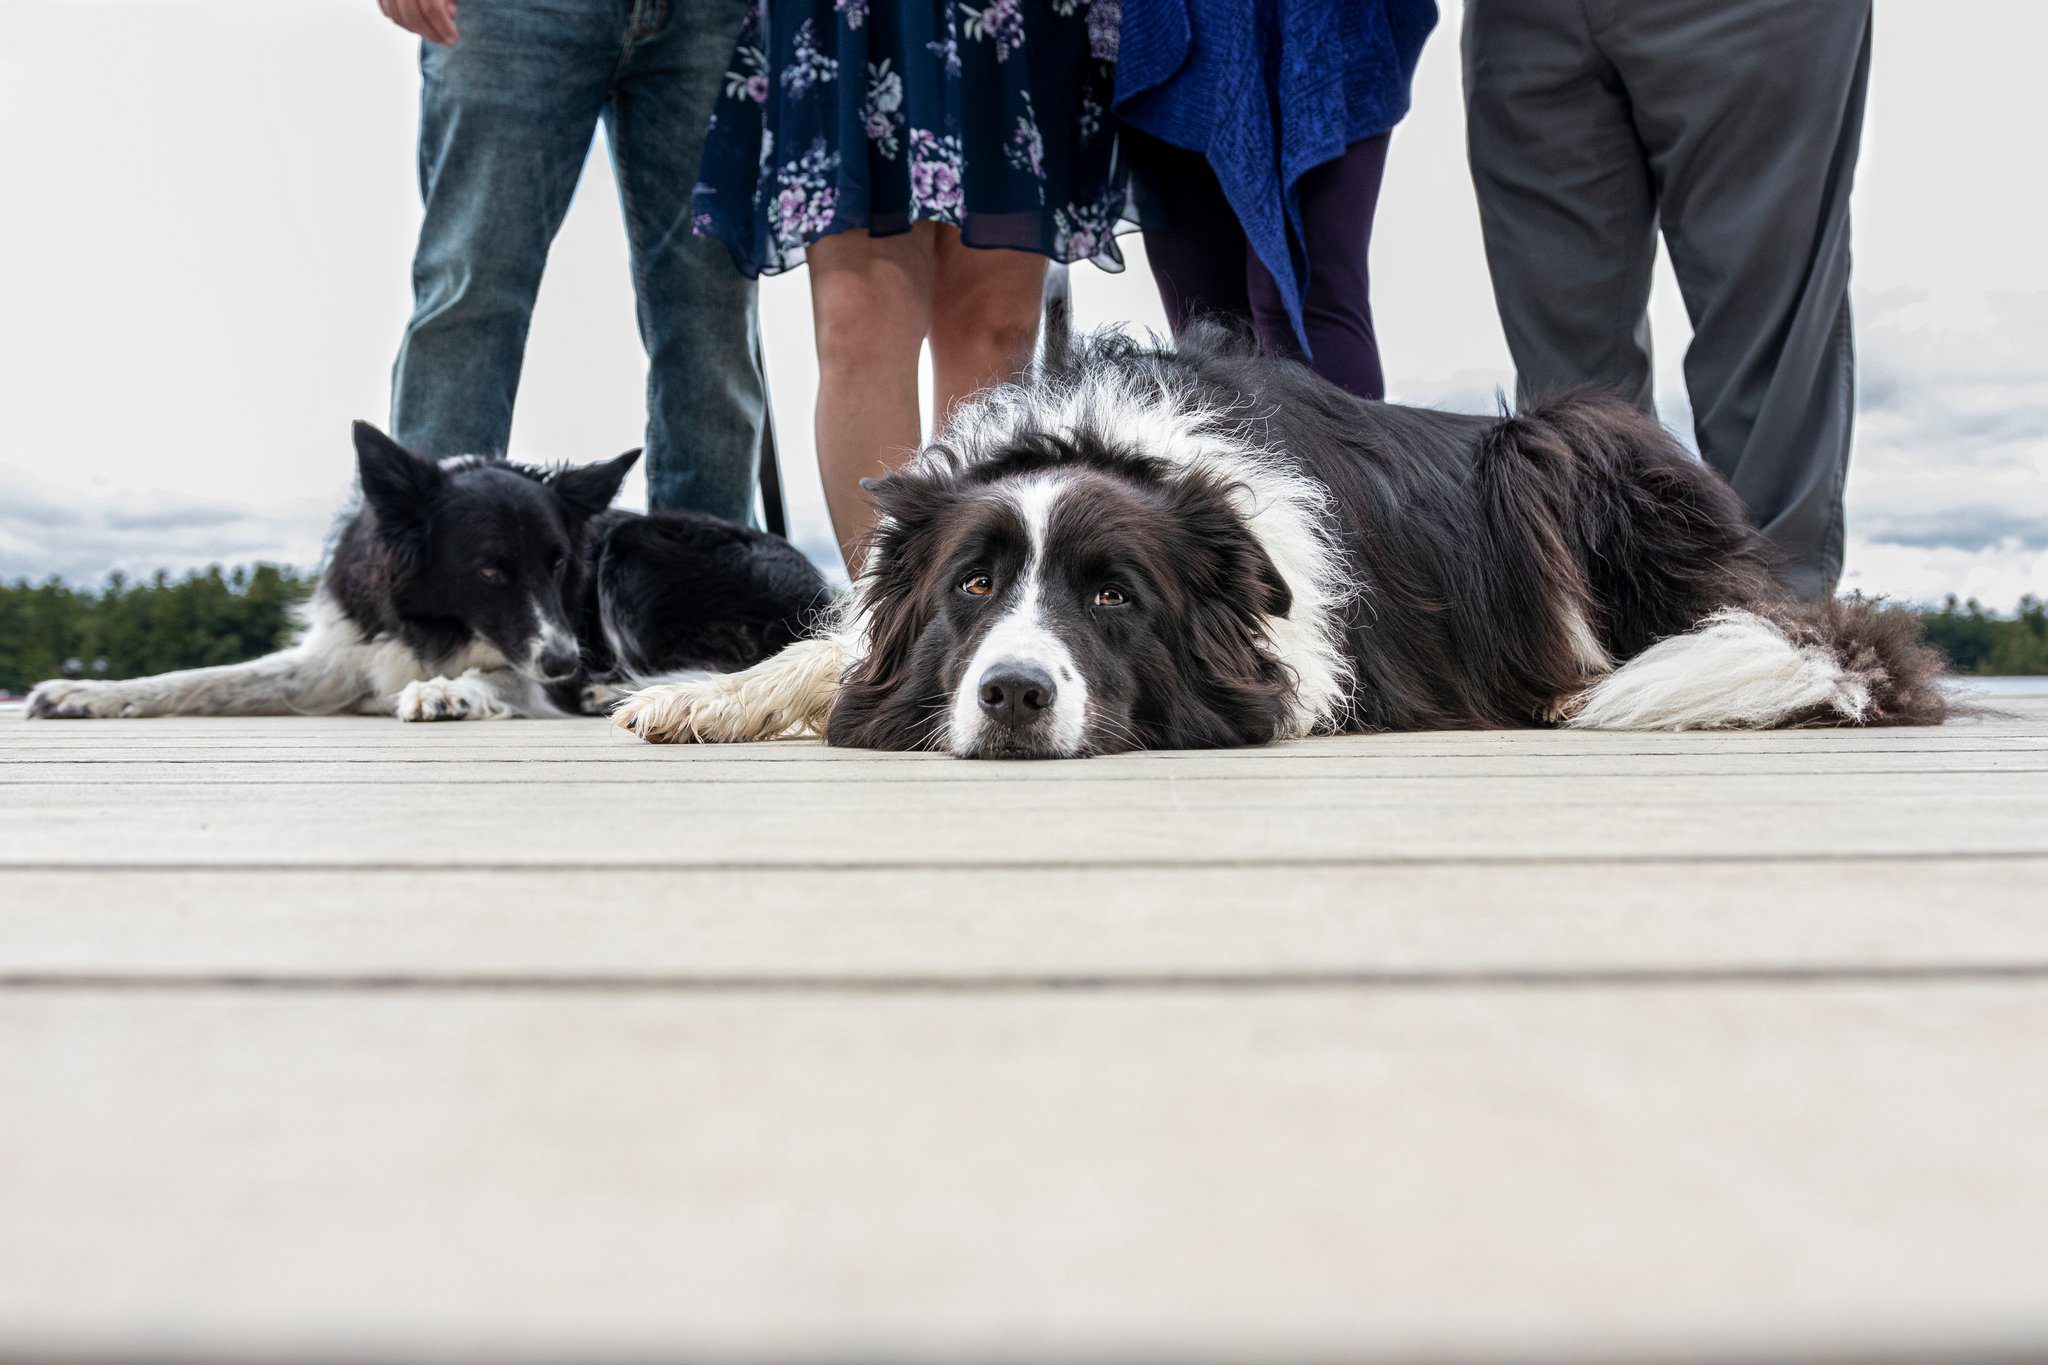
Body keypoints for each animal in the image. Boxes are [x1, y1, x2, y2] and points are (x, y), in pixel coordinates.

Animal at [28, 423, 827, 724]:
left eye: (559, 564)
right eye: (491, 570)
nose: (568, 665)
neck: (436, 620)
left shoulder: (541, 650)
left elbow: (497, 677)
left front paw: (449, 690)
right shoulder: (340, 653)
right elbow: (206, 679)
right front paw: (87, 692)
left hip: (635, 551)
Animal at [610, 327, 1949, 765]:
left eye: (1116, 597)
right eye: (972, 586)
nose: (1012, 696)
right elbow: (835, 650)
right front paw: (705, 697)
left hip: (1558, 445)